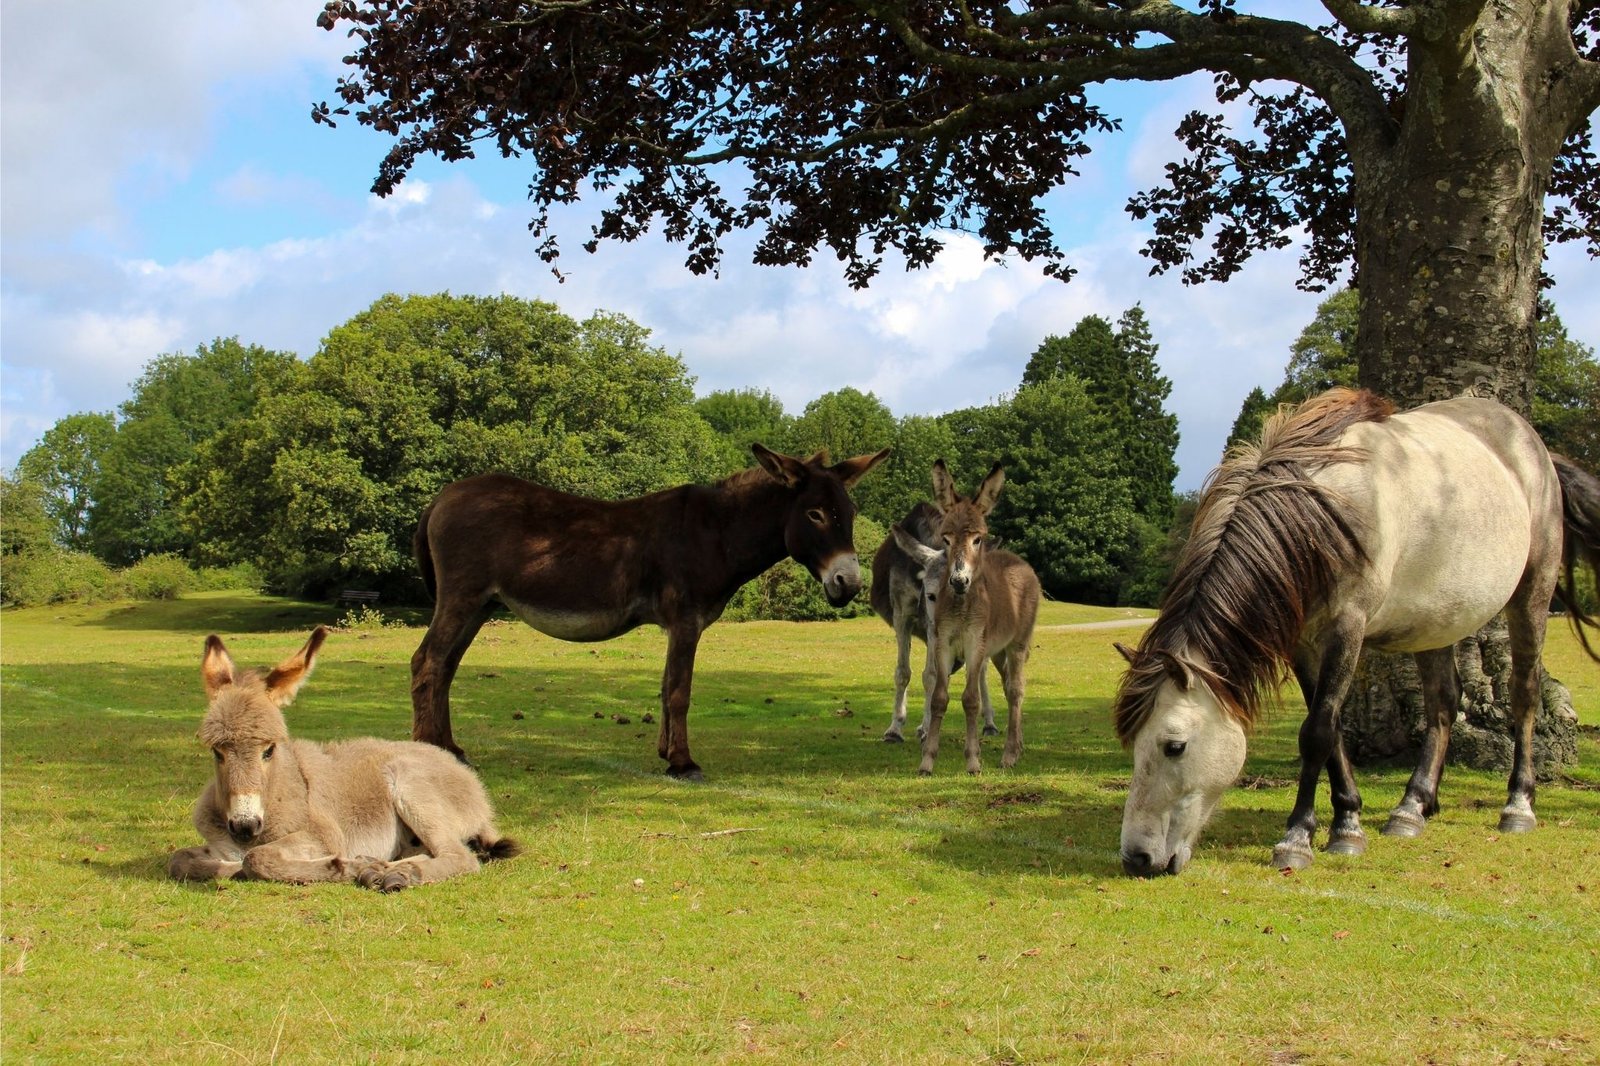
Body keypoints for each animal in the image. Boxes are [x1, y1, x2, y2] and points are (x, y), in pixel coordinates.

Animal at [168, 627, 518, 891]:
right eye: (217, 751)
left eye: (269, 749)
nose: (244, 826)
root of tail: (467, 776)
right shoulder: (218, 845)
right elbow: (180, 860)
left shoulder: (323, 835)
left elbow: (257, 858)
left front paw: (343, 866)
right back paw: (383, 869)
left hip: (413, 788)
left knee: (458, 856)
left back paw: (396, 874)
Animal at [411, 444, 888, 778]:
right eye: (815, 514)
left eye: (850, 513)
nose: (849, 584)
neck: (717, 533)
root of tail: (441, 498)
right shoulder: (686, 620)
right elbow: (679, 690)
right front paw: (683, 763)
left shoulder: (678, 624)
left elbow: (663, 687)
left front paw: (664, 753)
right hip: (462, 595)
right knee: (426, 662)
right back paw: (427, 750)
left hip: (481, 604)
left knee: (445, 667)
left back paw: (452, 751)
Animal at [870, 501, 997, 743]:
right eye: (931, 595)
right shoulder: (903, 616)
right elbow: (903, 673)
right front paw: (895, 729)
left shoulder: (934, 628)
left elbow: (931, 675)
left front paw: (928, 730)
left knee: (981, 671)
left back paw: (989, 723)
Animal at [891, 461, 1040, 775]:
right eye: (946, 538)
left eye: (977, 539)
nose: (959, 581)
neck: (961, 606)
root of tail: (1017, 560)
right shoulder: (944, 644)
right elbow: (939, 698)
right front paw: (927, 760)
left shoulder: (975, 645)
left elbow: (971, 700)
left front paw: (972, 761)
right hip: (998, 649)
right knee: (1008, 684)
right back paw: (1017, 746)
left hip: (1018, 643)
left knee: (1016, 689)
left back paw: (1009, 754)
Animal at [1112, 388, 1600, 877]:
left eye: (1174, 746)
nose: (1137, 858)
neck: (1320, 516)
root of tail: (1534, 446)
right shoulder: (1304, 645)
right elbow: (1332, 732)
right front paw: (1346, 822)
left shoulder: (1347, 627)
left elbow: (1317, 732)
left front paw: (1297, 838)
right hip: (1436, 621)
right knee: (1443, 703)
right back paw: (1413, 807)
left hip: (1532, 594)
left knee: (1523, 694)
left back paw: (1518, 805)